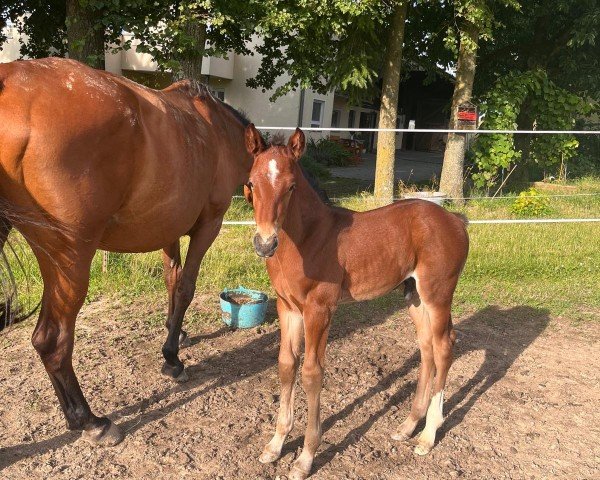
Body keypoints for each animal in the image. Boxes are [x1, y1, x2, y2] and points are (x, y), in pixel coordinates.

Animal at [243, 125, 468, 478]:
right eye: (252, 183)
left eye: (292, 186)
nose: (265, 243)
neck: (309, 238)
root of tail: (456, 220)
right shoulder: (287, 307)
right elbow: (286, 365)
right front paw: (275, 445)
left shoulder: (319, 310)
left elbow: (312, 373)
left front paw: (305, 457)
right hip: (415, 296)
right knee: (427, 348)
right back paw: (407, 427)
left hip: (438, 294)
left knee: (444, 347)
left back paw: (428, 436)